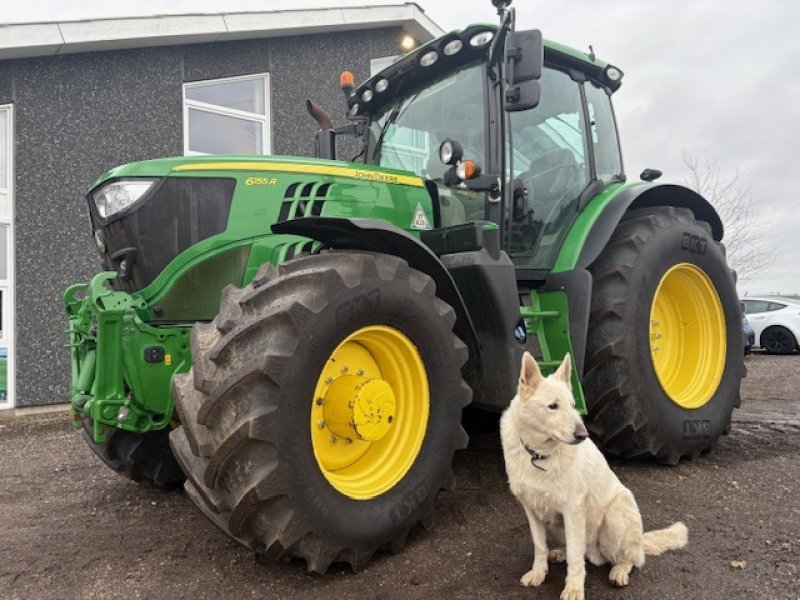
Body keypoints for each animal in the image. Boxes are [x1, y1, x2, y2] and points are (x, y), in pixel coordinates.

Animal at [500, 352, 688, 600]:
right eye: (553, 406)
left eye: (573, 406)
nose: (583, 434)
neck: (539, 456)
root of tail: (639, 541)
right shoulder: (532, 510)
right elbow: (540, 547)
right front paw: (539, 573)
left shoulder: (572, 510)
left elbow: (576, 560)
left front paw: (573, 588)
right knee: (581, 552)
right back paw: (561, 553)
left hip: (614, 518)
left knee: (626, 558)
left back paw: (619, 570)